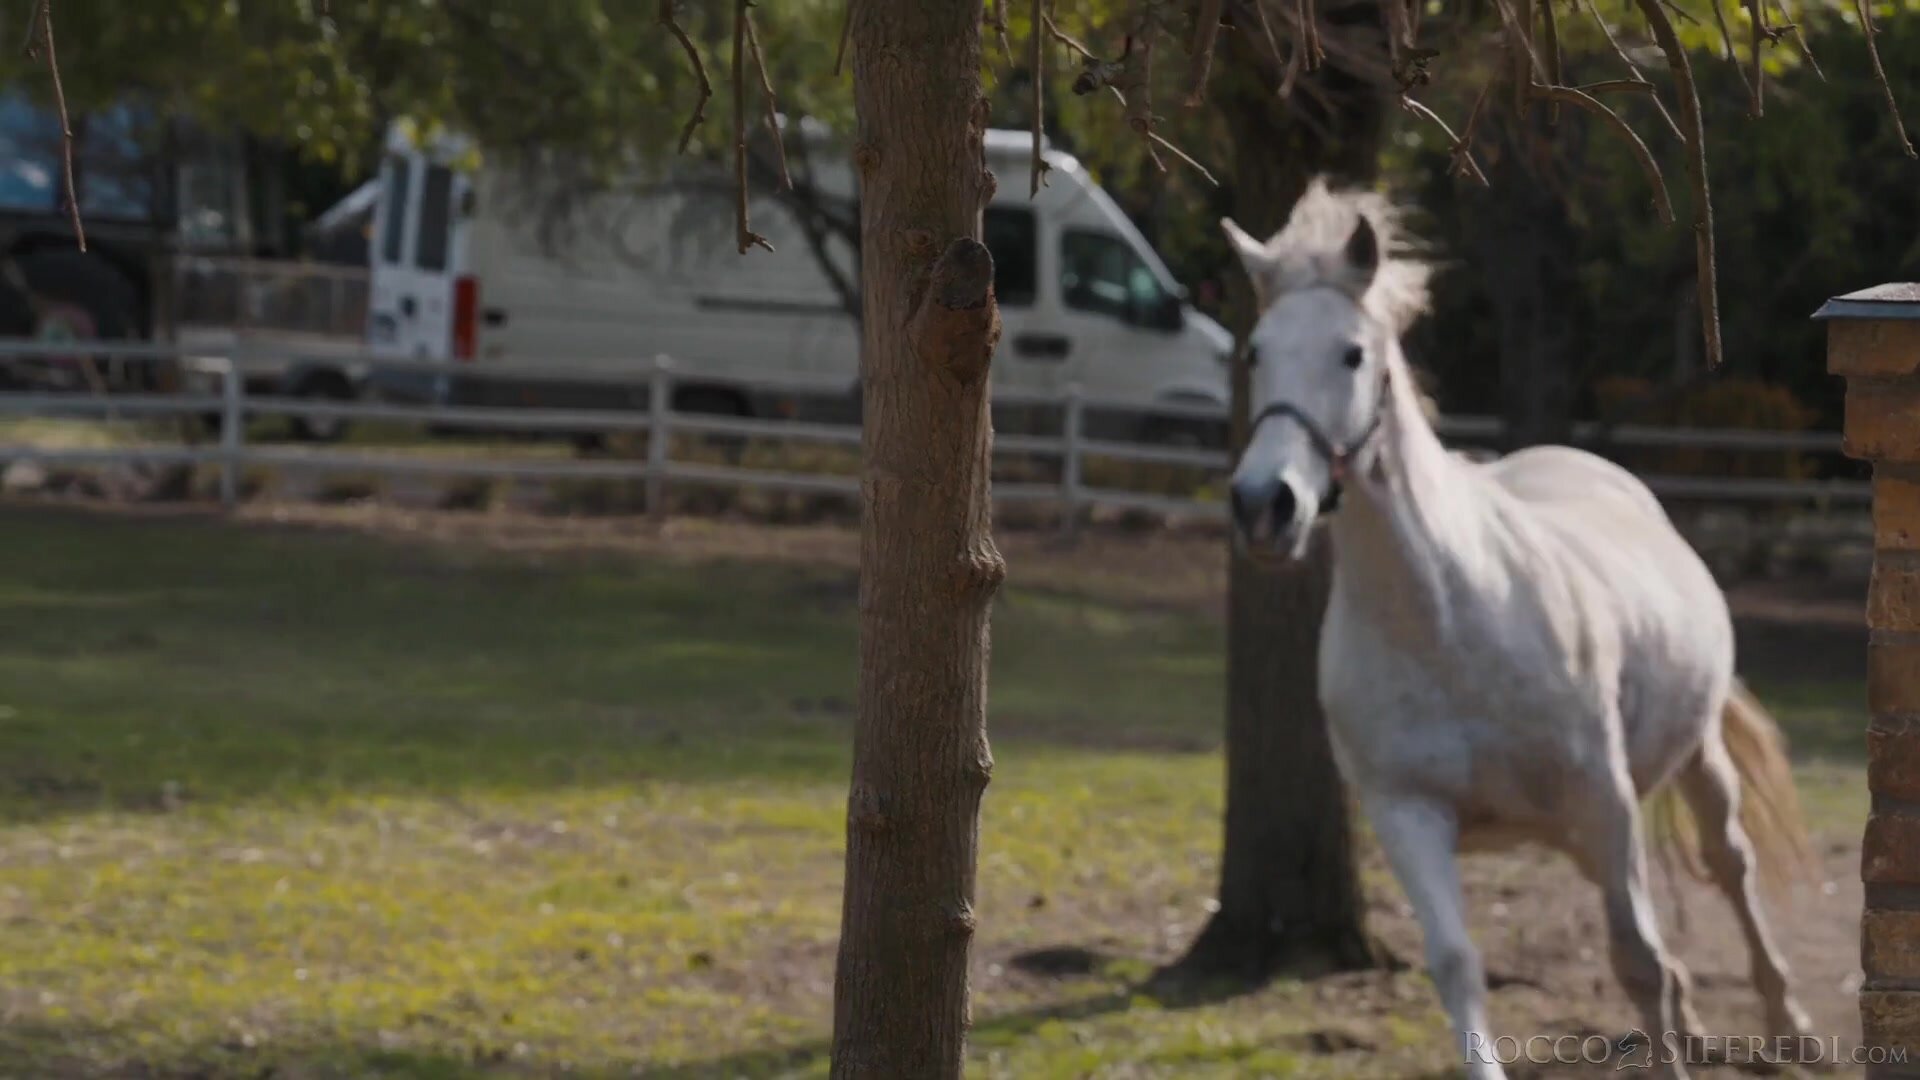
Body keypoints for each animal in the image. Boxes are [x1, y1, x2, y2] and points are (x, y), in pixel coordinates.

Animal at [1228, 180, 1812, 1068]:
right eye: (1256, 352)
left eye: (1352, 353)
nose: (1265, 506)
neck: (1447, 622)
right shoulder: (1410, 815)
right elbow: (1458, 965)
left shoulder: (1601, 795)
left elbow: (1636, 961)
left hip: (1692, 759)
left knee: (1728, 866)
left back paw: (1789, 1022)